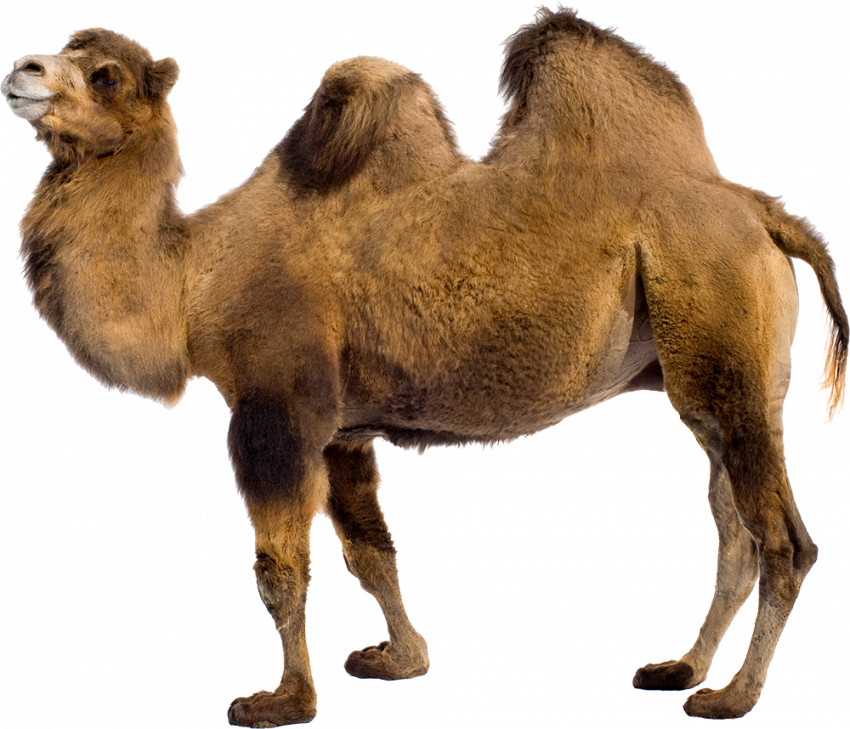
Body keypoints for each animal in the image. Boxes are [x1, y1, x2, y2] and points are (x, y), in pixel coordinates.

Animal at [3, 8, 847, 726]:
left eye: (105, 74)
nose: (23, 69)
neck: (193, 279)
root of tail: (767, 214)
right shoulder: (342, 426)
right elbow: (370, 550)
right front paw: (401, 659)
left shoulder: (276, 407)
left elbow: (281, 566)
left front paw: (286, 700)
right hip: (707, 371)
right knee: (734, 528)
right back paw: (681, 669)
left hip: (718, 316)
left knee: (782, 539)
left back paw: (732, 695)